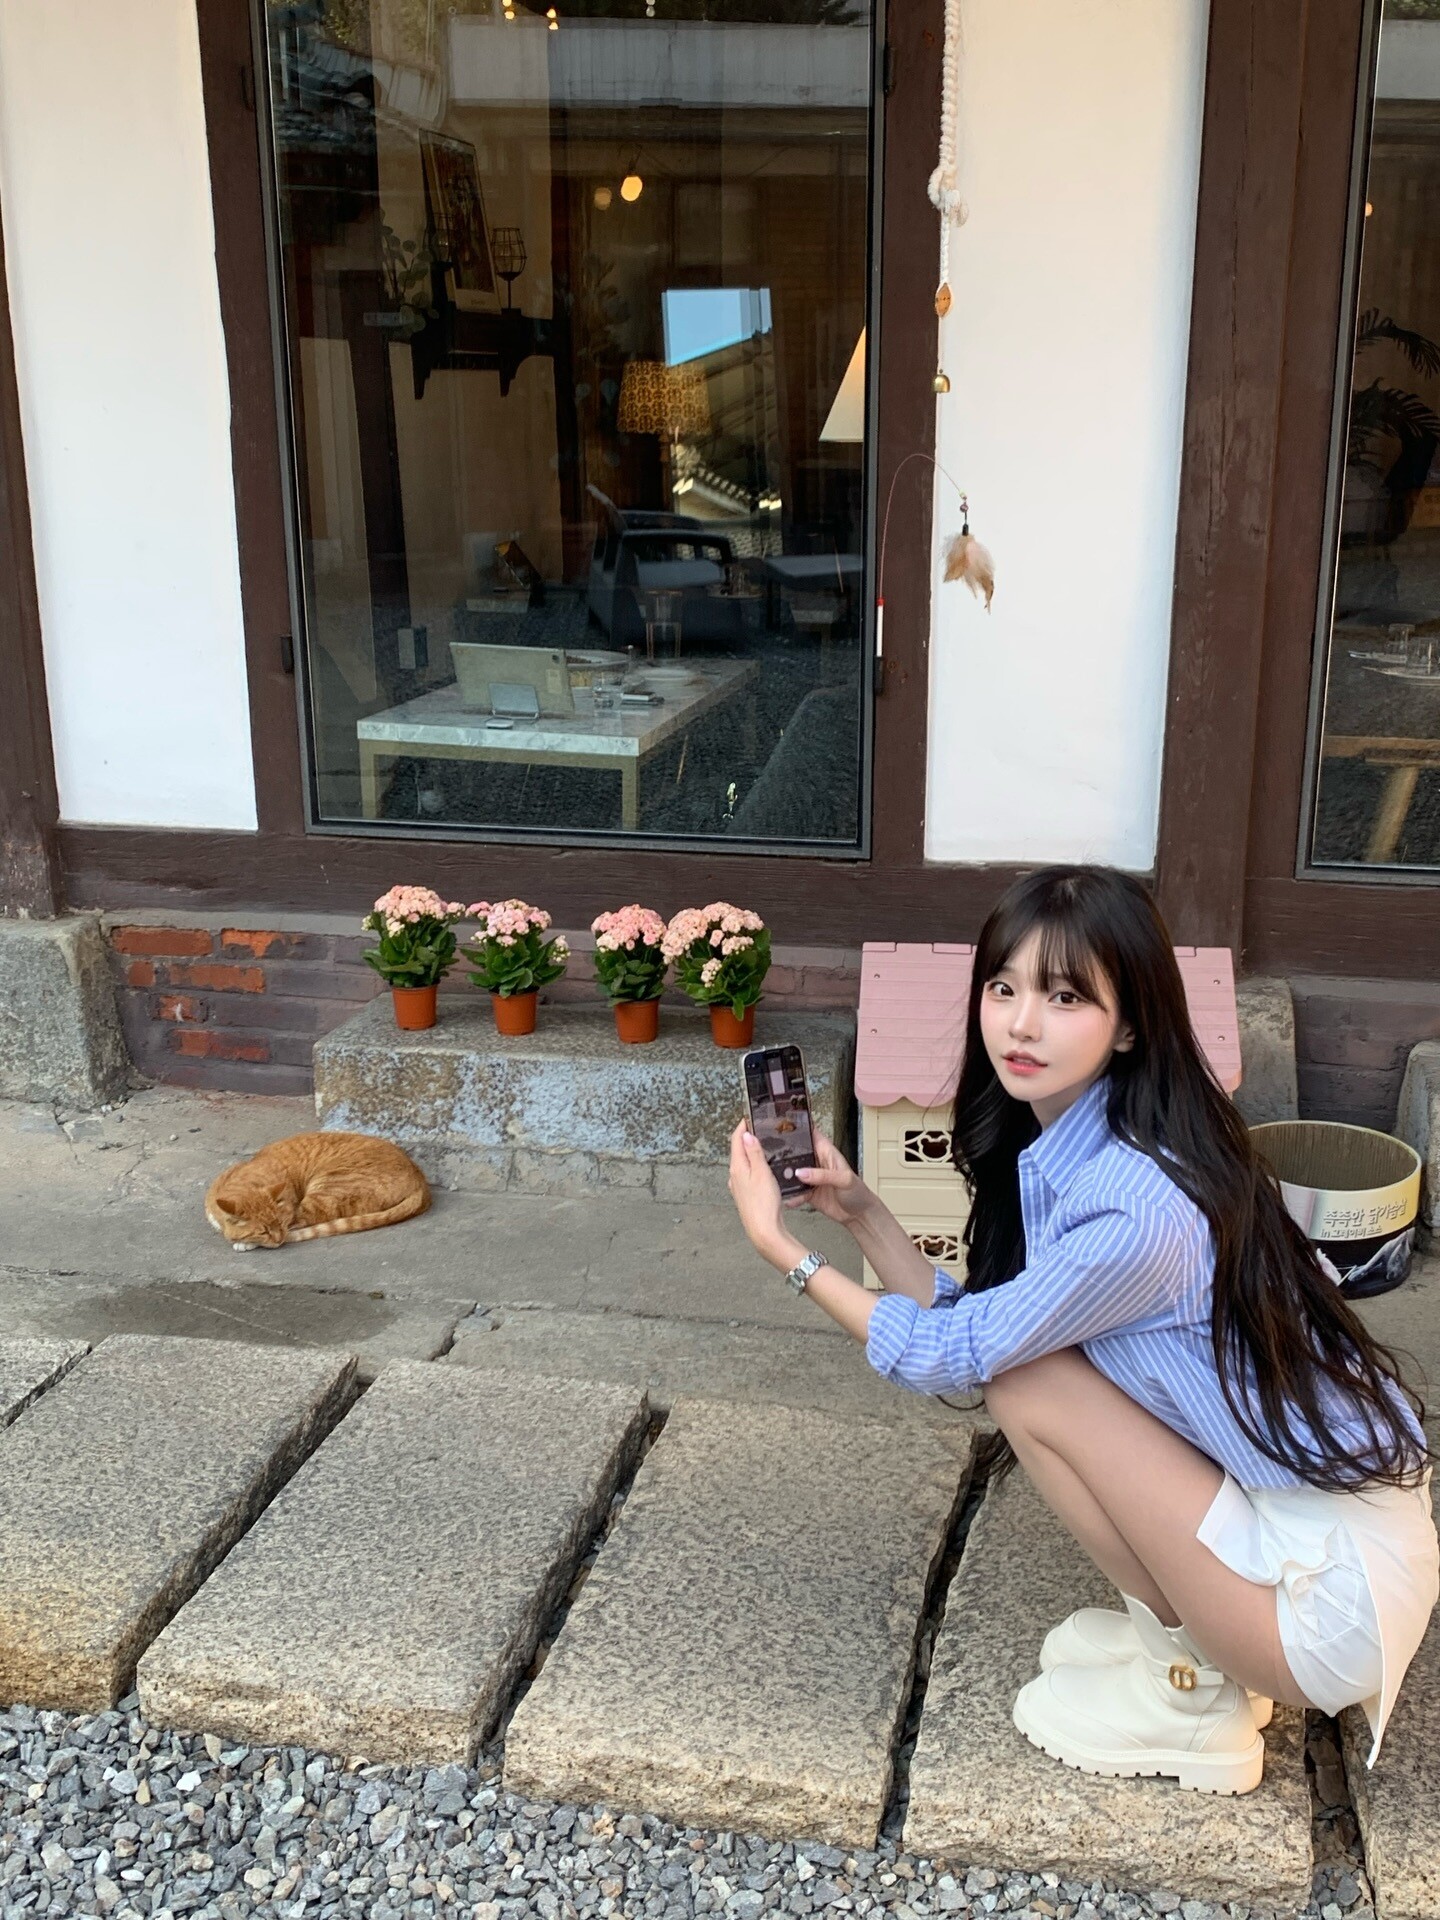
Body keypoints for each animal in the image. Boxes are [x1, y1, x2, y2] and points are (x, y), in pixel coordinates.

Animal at [205, 1131, 430, 1250]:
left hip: (327, 1188)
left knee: (310, 1218)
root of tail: (420, 1178)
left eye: (281, 1223)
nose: (279, 1239)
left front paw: (244, 1242)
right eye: (263, 1231)